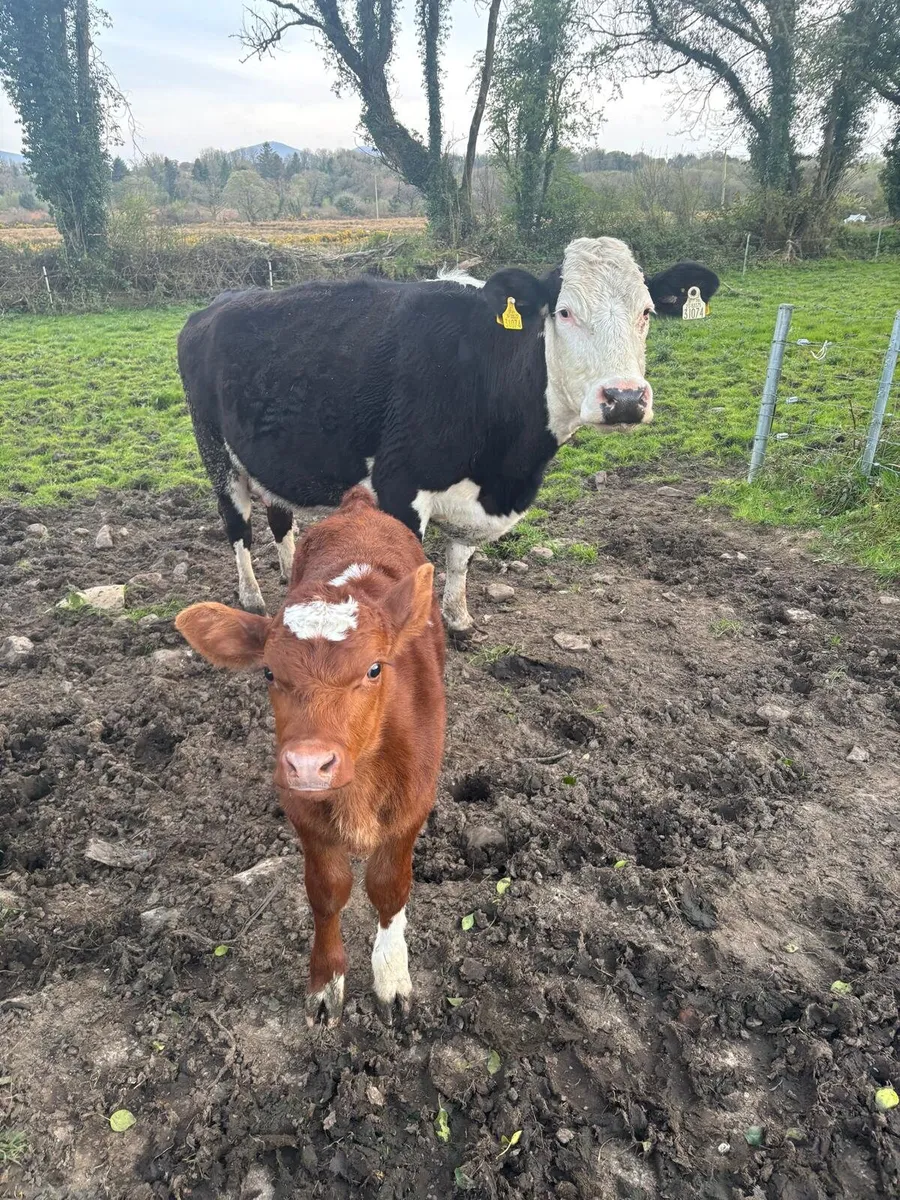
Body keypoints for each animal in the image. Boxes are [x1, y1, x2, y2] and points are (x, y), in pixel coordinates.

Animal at [174, 486, 445, 1026]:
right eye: (268, 673)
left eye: (375, 668)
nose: (307, 763)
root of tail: (358, 506)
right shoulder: (302, 810)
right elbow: (327, 891)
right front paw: (326, 984)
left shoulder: (413, 805)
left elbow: (389, 887)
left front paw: (391, 978)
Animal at [177, 236, 655, 635]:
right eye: (565, 312)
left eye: (646, 313)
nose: (625, 397)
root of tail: (218, 303)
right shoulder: (398, 488)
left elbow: (460, 561)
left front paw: (458, 619)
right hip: (214, 452)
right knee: (237, 525)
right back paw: (251, 597)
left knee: (280, 516)